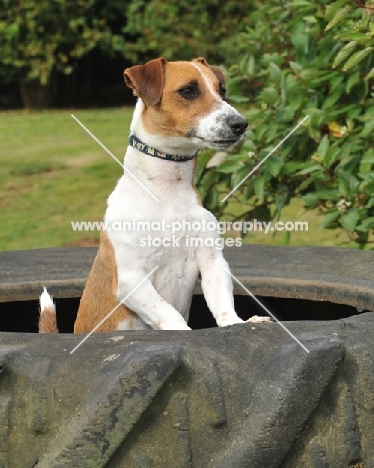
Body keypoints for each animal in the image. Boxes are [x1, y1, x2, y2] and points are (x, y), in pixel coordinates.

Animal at [38, 57, 268, 332]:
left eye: (221, 91)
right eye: (188, 91)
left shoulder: (212, 261)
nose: (240, 124)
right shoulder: (131, 278)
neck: (168, 190)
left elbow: (221, 303)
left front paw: (237, 323)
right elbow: (169, 314)